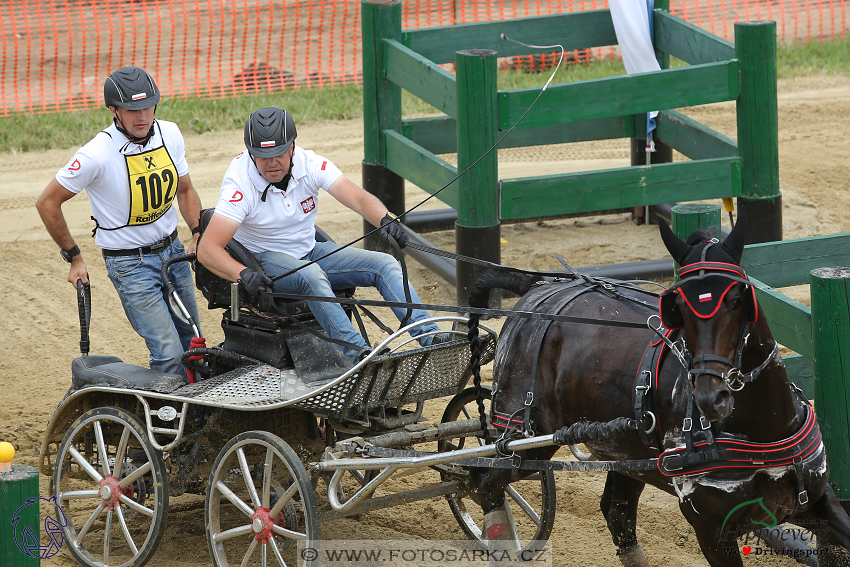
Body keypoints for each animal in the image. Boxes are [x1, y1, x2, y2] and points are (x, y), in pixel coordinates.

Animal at [468, 211, 848, 564]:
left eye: (737, 299)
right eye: (677, 306)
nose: (710, 396)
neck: (762, 431)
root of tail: (538, 287)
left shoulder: (819, 504)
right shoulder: (711, 529)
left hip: (627, 455)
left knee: (616, 513)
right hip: (525, 439)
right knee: (483, 484)